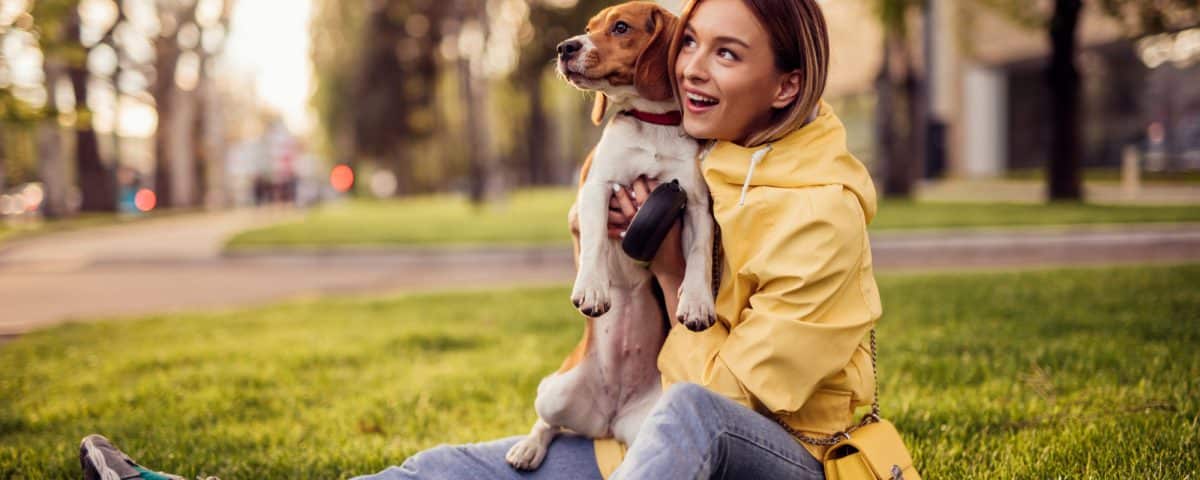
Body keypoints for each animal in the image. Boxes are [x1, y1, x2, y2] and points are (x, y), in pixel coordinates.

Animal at [504, 1, 715, 470]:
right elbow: (597, 244)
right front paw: (593, 290)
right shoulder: (595, 190)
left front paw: (696, 303)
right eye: (588, 28)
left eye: (620, 28)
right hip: (554, 391)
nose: (564, 48)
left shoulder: (694, 204)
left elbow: (698, 257)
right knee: (548, 424)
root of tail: (607, 418)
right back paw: (528, 448)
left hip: (647, 419)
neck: (652, 124)